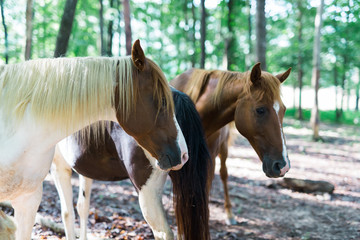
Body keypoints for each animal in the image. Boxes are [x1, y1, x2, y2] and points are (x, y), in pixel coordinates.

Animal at [0, 39, 188, 238]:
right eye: (163, 101)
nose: (184, 154)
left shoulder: (35, 193)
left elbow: (71, 211)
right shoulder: (55, 173)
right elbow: (74, 210)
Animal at [51, 88, 211, 240]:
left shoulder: (59, 168)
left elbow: (67, 213)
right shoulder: (86, 170)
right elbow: (82, 207)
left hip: (147, 190)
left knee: (163, 233)